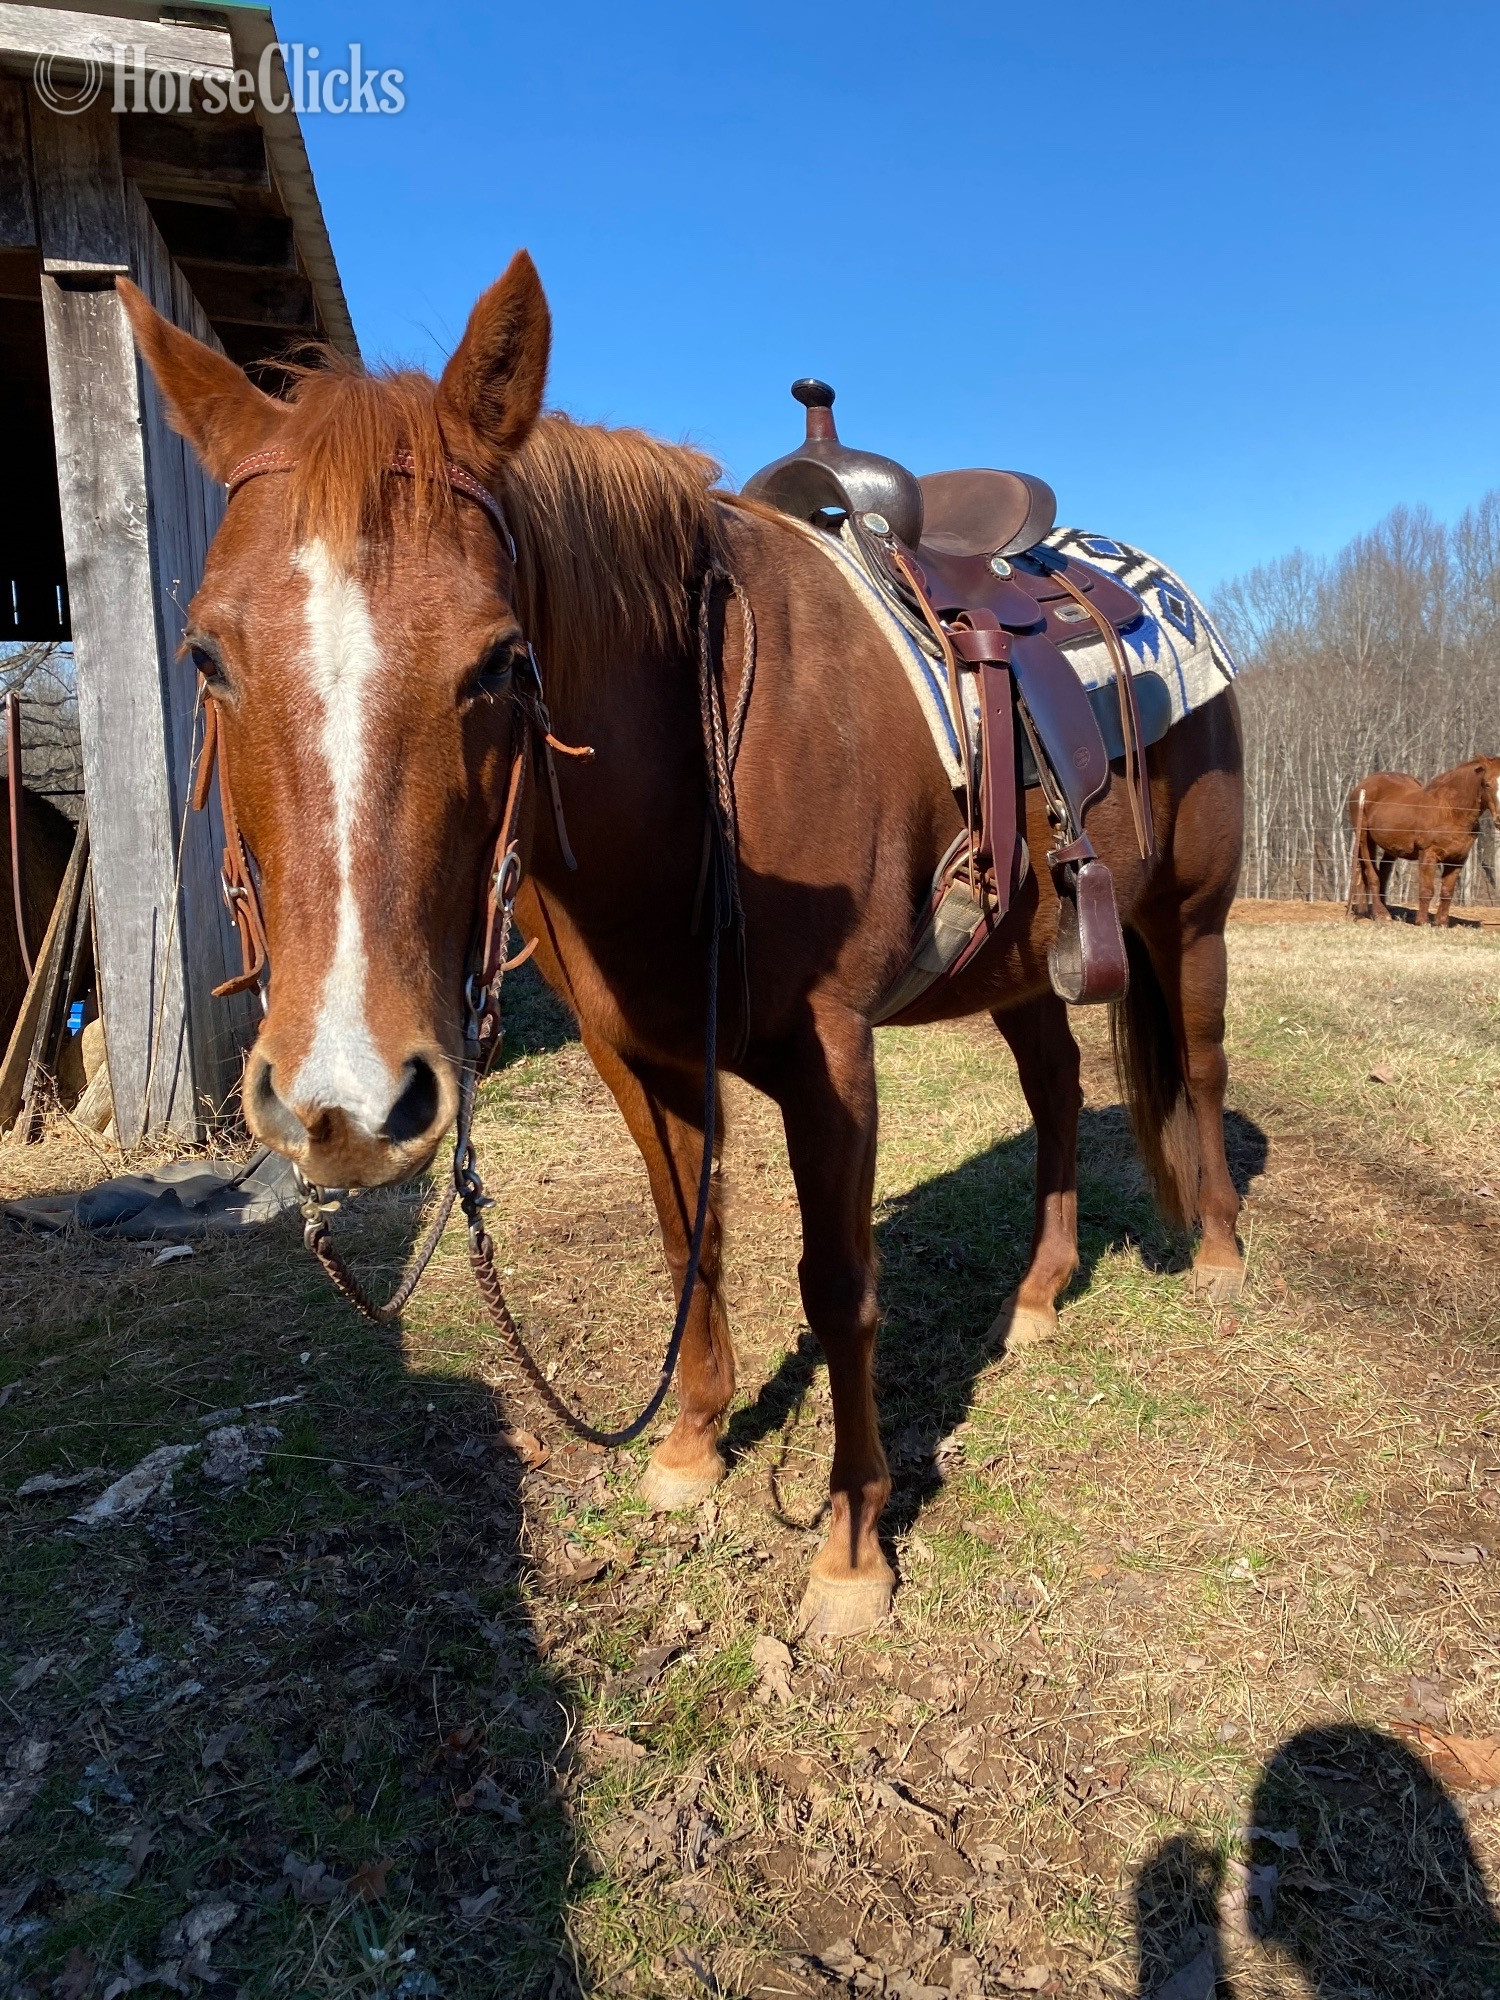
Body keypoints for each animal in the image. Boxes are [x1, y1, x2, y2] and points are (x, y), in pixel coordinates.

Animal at [118, 254, 1246, 1638]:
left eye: (502, 660)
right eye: (205, 653)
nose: (346, 1100)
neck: (695, 757)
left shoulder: (832, 1056)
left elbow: (839, 1279)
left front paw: (852, 1547)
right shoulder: (639, 1056)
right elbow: (684, 1241)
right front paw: (692, 1447)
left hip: (1190, 917)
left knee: (1198, 1064)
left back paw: (1220, 1257)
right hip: (1021, 961)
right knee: (1056, 1087)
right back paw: (1037, 1294)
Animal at [1348, 759, 1500, 926]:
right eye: (1486, 784)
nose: (1499, 819)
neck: (1450, 811)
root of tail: (1362, 786)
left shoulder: (1457, 859)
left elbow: (1447, 891)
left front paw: (1441, 923)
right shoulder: (1428, 854)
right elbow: (1427, 890)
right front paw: (1422, 922)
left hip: (1390, 846)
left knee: (1382, 873)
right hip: (1364, 839)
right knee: (1372, 875)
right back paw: (1381, 914)